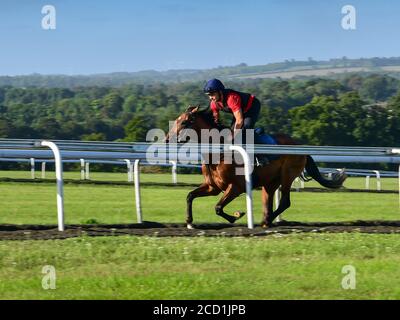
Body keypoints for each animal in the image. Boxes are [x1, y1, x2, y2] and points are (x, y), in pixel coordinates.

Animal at [164, 106, 346, 229]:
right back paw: (266, 220)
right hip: (270, 182)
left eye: (184, 122)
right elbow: (190, 196)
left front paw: (237, 215)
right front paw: (189, 222)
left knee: (285, 201)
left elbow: (218, 207)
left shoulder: (236, 187)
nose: (167, 139)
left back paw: (267, 221)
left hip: (287, 175)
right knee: (269, 201)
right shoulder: (212, 187)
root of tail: (301, 147)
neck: (219, 151)